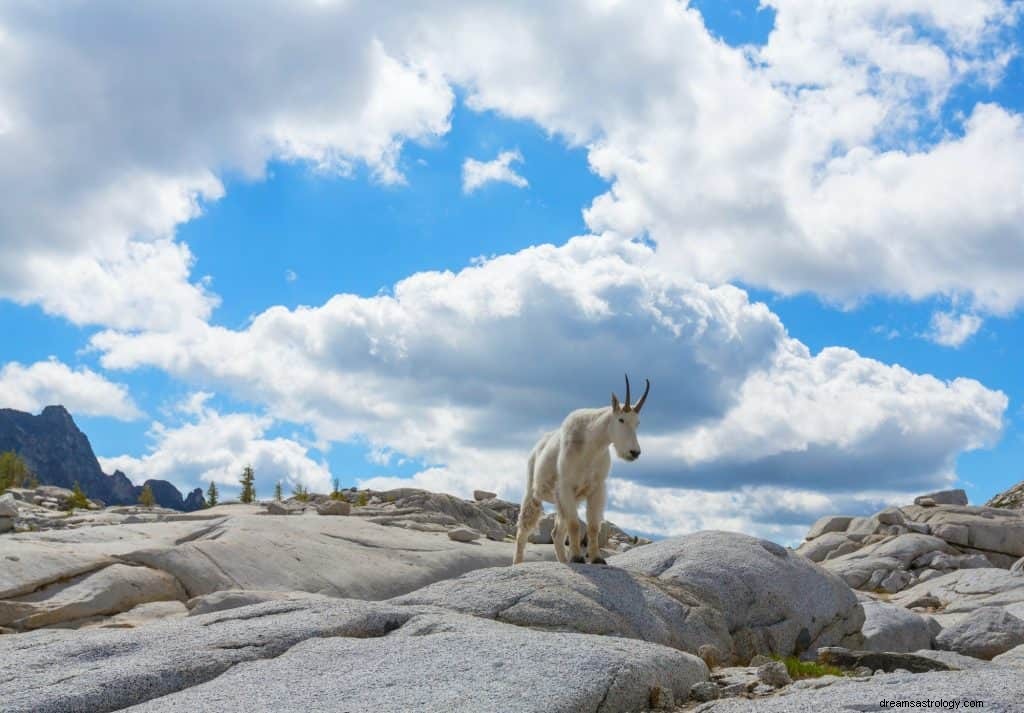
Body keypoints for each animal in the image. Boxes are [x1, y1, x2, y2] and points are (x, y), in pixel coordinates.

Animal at [512, 376, 647, 565]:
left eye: (638, 423)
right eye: (621, 419)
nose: (634, 452)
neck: (591, 446)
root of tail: (537, 447)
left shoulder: (597, 489)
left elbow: (593, 526)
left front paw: (597, 558)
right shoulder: (566, 486)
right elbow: (575, 525)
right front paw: (577, 557)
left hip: (564, 500)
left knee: (556, 533)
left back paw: (563, 561)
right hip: (534, 492)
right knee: (523, 529)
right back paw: (517, 563)